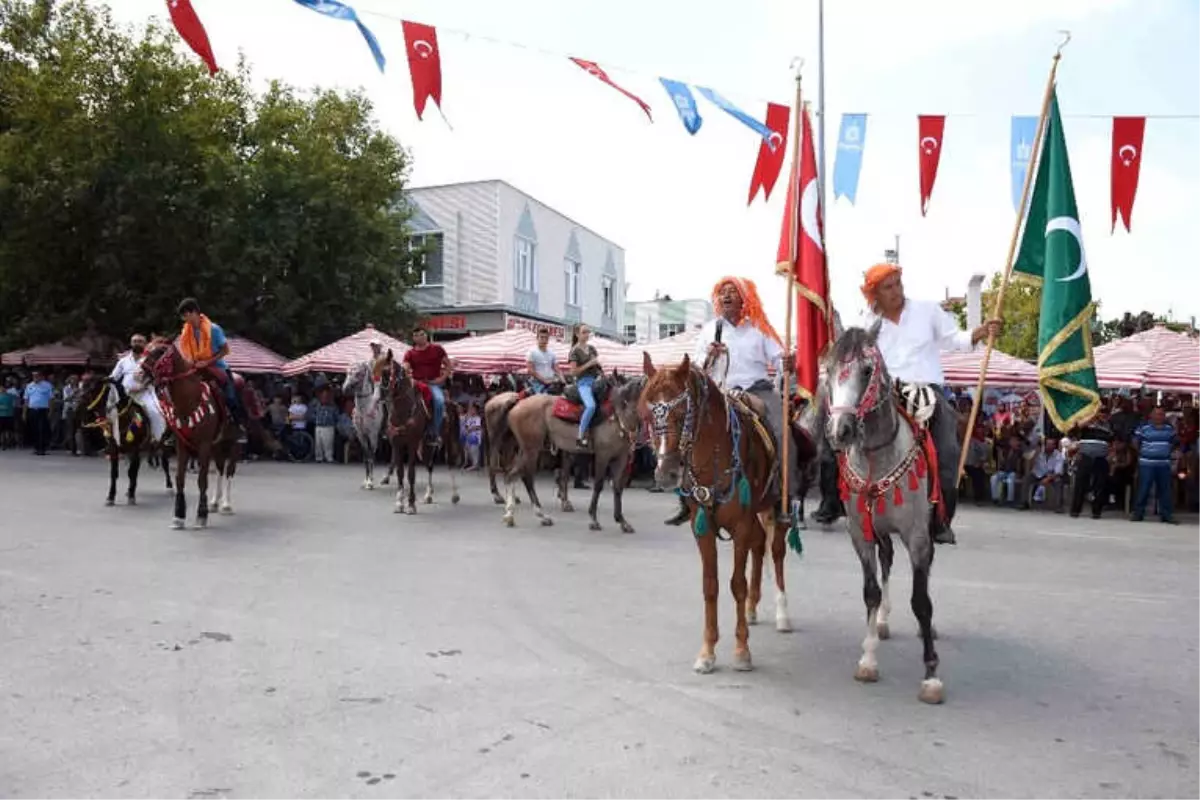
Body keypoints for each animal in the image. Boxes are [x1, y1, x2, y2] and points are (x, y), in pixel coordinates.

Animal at [340, 359, 396, 491]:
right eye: (348, 372)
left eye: (359, 373)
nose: (345, 388)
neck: (365, 409)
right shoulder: (361, 436)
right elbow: (366, 457)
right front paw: (366, 481)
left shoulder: (373, 436)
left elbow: (371, 457)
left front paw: (370, 482)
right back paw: (386, 478)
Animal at [379, 352, 463, 515]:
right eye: (379, 372)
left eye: (388, 372)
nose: (381, 394)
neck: (403, 410)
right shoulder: (397, 444)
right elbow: (400, 472)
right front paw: (399, 503)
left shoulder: (411, 443)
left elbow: (411, 473)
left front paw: (411, 504)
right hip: (425, 446)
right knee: (429, 465)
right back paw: (428, 495)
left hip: (448, 439)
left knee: (449, 463)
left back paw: (455, 495)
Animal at [487, 381, 643, 534]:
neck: (619, 415)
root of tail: (516, 403)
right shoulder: (602, 456)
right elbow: (597, 485)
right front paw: (593, 519)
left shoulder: (621, 457)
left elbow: (617, 487)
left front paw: (622, 522)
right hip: (528, 449)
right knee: (515, 475)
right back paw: (516, 512)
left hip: (524, 448)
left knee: (519, 475)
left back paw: (527, 514)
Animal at [638, 352, 796, 671]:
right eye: (648, 414)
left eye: (681, 413)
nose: (666, 472)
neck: (714, 456)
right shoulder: (702, 527)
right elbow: (710, 585)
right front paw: (707, 652)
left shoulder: (741, 524)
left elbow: (737, 583)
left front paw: (742, 650)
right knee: (760, 545)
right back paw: (752, 608)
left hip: (773, 509)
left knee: (775, 551)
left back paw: (782, 614)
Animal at [830, 321, 940, 705]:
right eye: (827, 370)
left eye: (866, 370)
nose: (840, 431)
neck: (879, 457)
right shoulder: (860, 534)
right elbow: (871, 591)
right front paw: (868, 658)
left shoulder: (918, 536)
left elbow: (921, 601)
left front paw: (931, 676)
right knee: (888, 560)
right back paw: (881, 623)